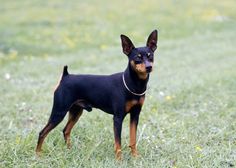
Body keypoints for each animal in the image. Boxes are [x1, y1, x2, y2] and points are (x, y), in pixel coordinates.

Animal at [36, 29, 158, 159]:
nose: (149, 67)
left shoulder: (135, 115)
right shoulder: (118, 118)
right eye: (137, 58)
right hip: (59, 112)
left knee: (66, 130)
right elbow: (118, 143)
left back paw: (69, 151)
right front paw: (119, 160)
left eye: (151, 56)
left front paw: (135, 156)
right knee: (42, 132)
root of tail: (66, 76)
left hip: (76, 112)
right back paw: (38, 154)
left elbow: (133, 139)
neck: (134, 84)